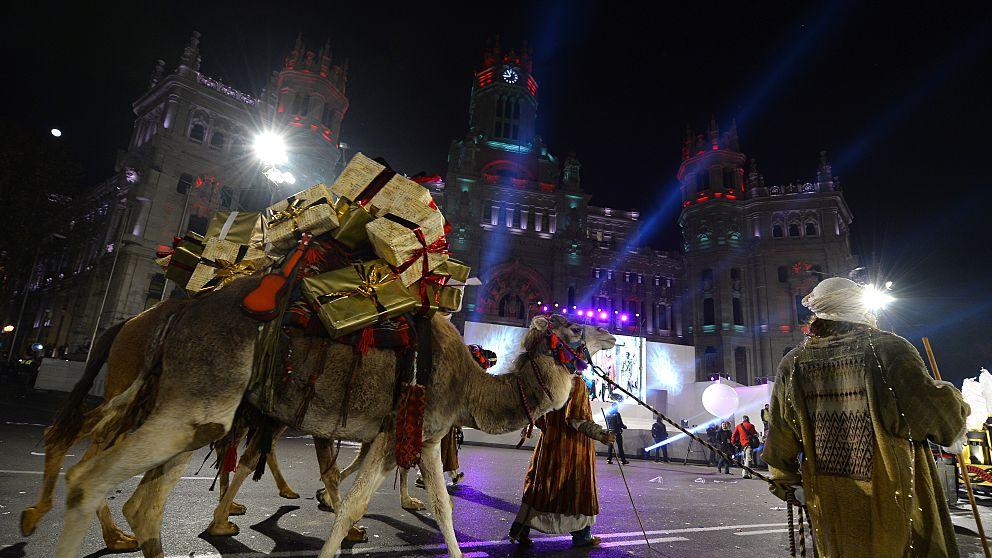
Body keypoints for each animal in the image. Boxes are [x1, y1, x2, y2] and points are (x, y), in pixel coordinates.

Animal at [44, 278, 588, 558]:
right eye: (576, 330)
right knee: (93, 470)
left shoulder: (428, 438)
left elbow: (443, 508)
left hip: (194, 408)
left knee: (142, 497)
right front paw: (341, 522)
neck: (469, 383)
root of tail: (172, 314)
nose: (594, 353)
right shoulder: (393, 432)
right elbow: (352, 502)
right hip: (190, 399)